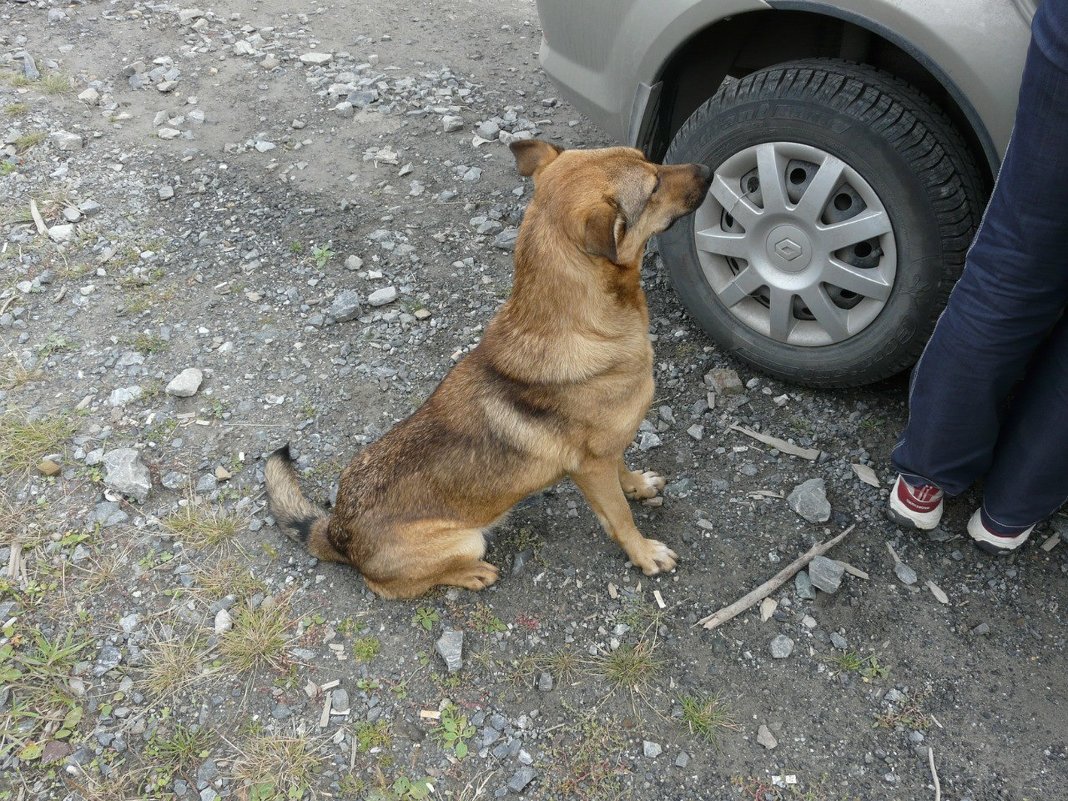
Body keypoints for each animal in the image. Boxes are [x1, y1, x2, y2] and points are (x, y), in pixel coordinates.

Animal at [261, 140, 709, 598]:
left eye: (647, 159)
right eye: (653, 187)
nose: (708, 170)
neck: (578, 325)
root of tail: (337, 532)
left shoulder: (609, 448)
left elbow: (624, 470)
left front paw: (637, 484)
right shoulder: (591, 467)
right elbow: (620, 517)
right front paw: (644, 553)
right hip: (466, 540)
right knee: (398, 584)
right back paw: (471, 574)